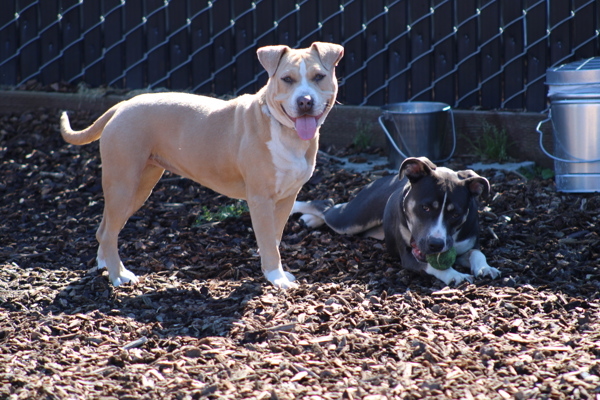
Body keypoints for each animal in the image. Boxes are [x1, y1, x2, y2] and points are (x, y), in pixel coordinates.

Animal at [62, 42, 342, 290]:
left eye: (319, 76)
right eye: (287, 79)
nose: (305, 101)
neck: (285, 131)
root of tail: (121, 106)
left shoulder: (286, 198)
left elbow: (274, 237)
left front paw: (275, 272)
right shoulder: (261, 199)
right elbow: (269, 241)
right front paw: (277, 278)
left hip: (138, 188)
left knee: (105, 228)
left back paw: (104, 264)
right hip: (124, 184)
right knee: (109, 232)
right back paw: (119, 275)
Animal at [292, 156, 500, 284]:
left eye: (455, 214)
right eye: (425, 207)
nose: (436, 244)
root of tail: (384, 179)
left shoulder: (464, 245)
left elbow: (476, 253)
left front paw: (485, 268)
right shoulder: (409, 256)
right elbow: (432, 266)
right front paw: (455, 275)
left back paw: (309, 219)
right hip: (351, 219)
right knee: (326, 205)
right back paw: (299, 210)